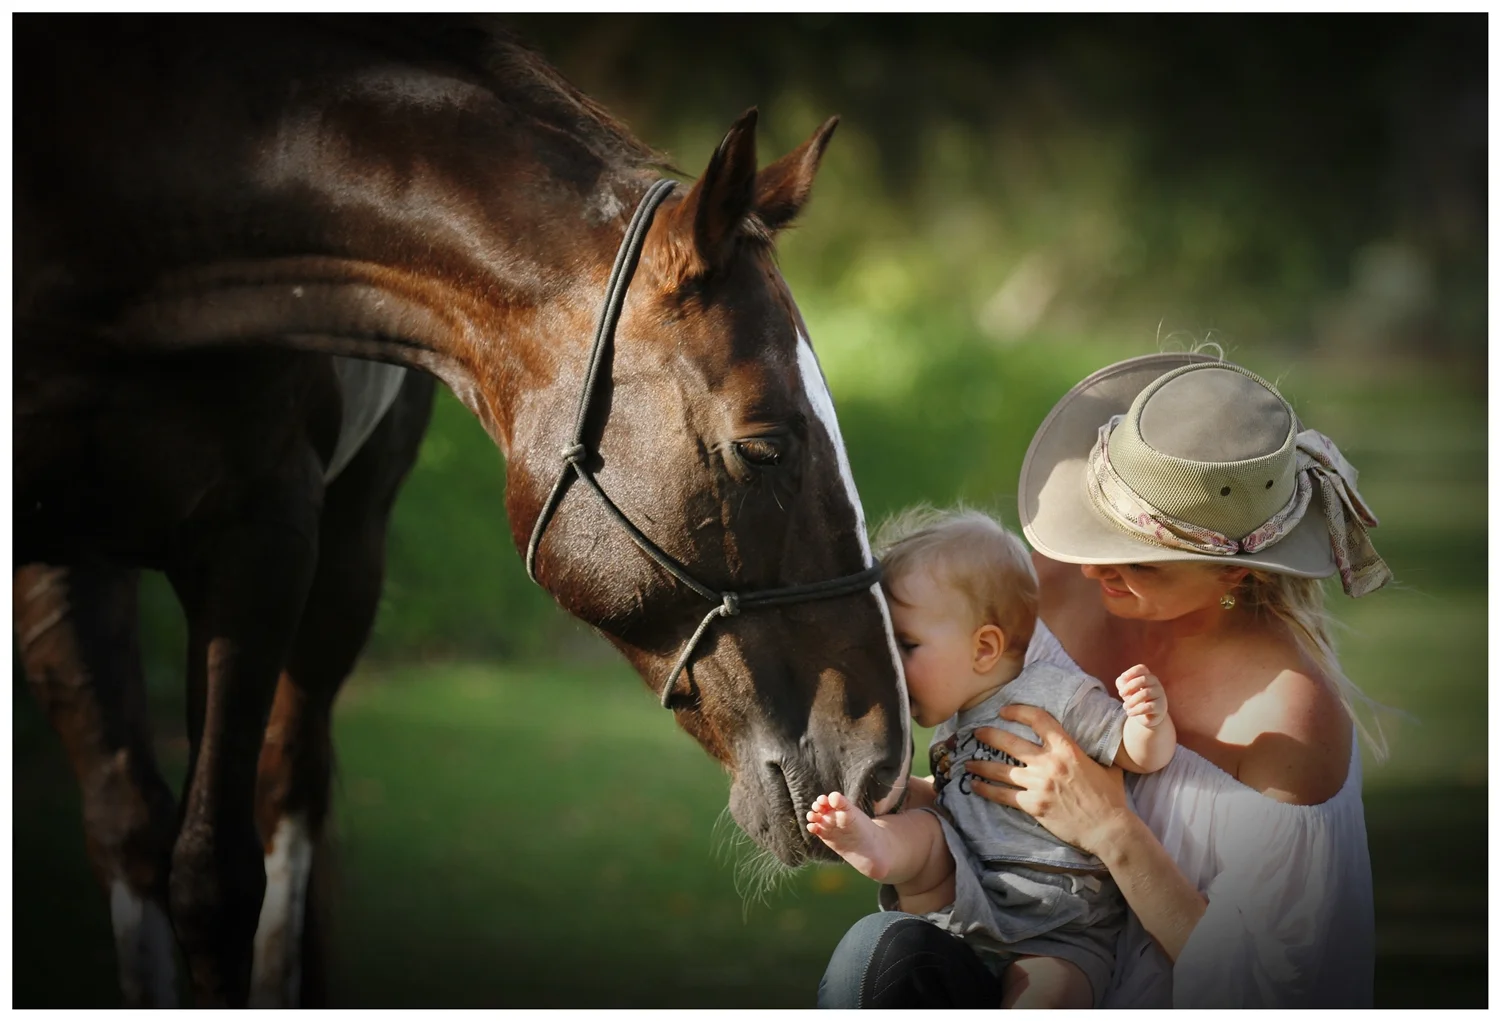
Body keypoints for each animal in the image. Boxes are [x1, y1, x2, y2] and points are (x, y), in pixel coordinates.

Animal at [13, 14, 911, 1008]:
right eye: (764, 445)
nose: (882, 761)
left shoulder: (264, 543)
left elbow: (217, 874)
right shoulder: (80, 553)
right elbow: (181, 867)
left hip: (346, 556)